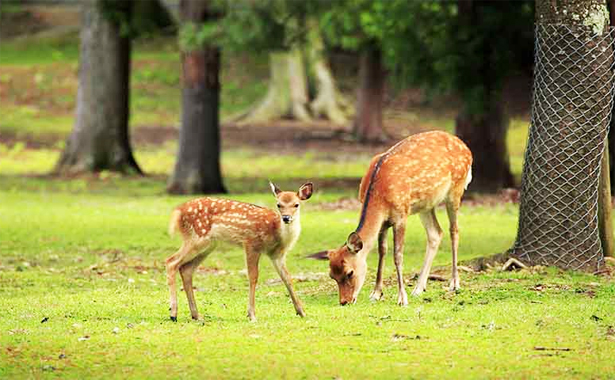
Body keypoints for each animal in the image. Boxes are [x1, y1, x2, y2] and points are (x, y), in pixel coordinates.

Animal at [167, 181, 312, 320]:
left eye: (296, 204)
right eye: (279, 204)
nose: (286, 218)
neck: (276, 231)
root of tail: (178, 211)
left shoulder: (277, 254)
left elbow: (287, 277)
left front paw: (301, 312)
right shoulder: (251, 243)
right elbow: (253, 277)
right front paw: (251, 314)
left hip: (208, 245)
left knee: (186, 269)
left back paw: (196, 315)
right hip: (197, 237)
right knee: (171, 261)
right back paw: (173, 313)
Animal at [310, 132, 474, 304]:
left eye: (350, 272)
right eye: (332, 275)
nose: (344, 301)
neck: (380, 195)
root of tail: (466, 148)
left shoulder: (401, 214)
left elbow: (397, 255)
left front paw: (402, 298)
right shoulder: (383, 222)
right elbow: (382, 251)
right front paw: (376, 293)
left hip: (456, 190)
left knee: (454, 230)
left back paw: (454, 284)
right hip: (426, 204)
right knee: (436, 233)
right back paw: (418, 288)